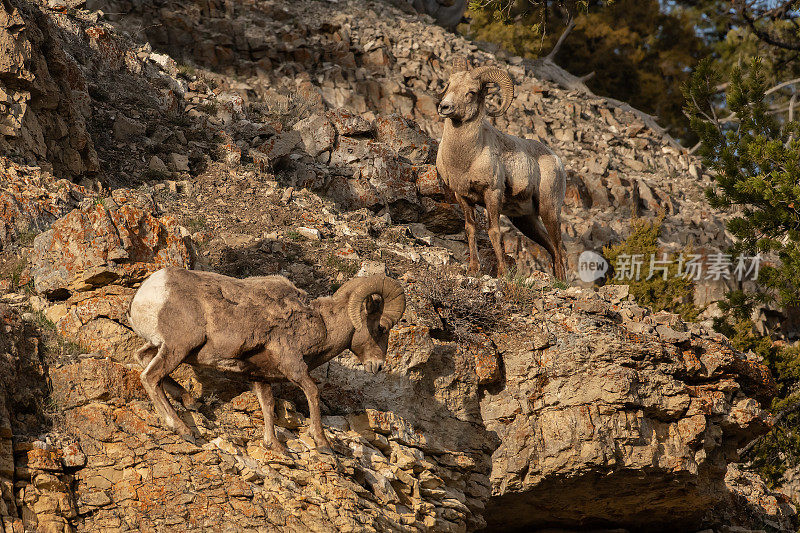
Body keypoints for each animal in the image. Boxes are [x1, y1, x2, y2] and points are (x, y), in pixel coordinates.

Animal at [132, 268, 410, 450]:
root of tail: (149, 291)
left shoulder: (258, 376)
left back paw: (189, 401)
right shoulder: (293, 365)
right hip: (178, 347)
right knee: (150, 377)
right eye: (381, 328)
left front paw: (274, 445)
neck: (321, 324)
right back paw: (183, 429)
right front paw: (322, 443)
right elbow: (312, 392)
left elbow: (267, 405)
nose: (377, 366)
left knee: (142, 359)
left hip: (163, 347)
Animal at [438, 59, 568, 278]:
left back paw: (562, 283)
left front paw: (503, 273)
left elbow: (494, 232)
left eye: (471, 92)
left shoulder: (492, 194)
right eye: (449, 85)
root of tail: (556, 160)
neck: (465, 159)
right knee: (551, 248)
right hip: (525, 220)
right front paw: (473, 270)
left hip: (549, 210)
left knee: (559, 249)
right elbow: (470, 229)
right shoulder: (462, 196)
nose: (444, 106)